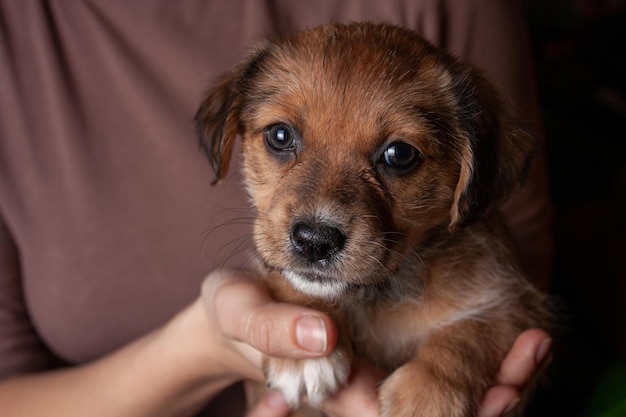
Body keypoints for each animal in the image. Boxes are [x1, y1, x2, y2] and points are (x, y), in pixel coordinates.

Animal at [195, 22, 544, 416]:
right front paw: (304, 356)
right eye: (280, 136)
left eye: (399, 154)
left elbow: (472, 333)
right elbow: (288, 279)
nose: (315, 241)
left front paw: (428, 392)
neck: (376, 295)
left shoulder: (519, 304)